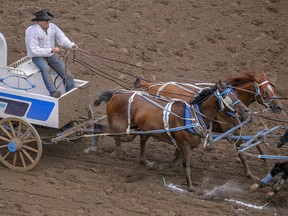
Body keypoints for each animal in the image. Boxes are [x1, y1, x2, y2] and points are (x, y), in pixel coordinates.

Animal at [93, 80, 249, 191]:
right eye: (227, 96)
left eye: (236, 94)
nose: (246, 111)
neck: (192, 116)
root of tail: (116, 94)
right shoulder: (185, 146)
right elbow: (186, 165)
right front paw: (190, 187)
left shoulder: (182, 144)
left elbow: (176, 159)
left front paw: (163, 167)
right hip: (121, 128)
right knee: (105, 130)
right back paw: (111, 150)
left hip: (136, 129)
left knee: (122, 135)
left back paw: (144, 161)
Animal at [133, 70, 284, 180]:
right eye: (266, 92)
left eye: (273, 89)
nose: (280, 107)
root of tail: (153, 85)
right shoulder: (230, 131)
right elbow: (241, 151)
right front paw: (250, 174)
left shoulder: (236, 128)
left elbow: (254, 139)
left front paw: (264, 158)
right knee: (144, 137)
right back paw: (144, 160)